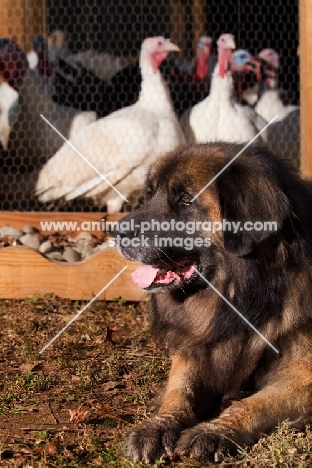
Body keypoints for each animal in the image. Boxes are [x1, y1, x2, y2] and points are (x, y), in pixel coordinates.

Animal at [115, 143, 312, 464]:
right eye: (150, 193)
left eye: (185, 199)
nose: (116, 233)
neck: (245, 296)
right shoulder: (199, 347)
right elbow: (180, 390)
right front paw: (159, 425)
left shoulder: (304, 374)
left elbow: (255, 404)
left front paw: (215, 431)